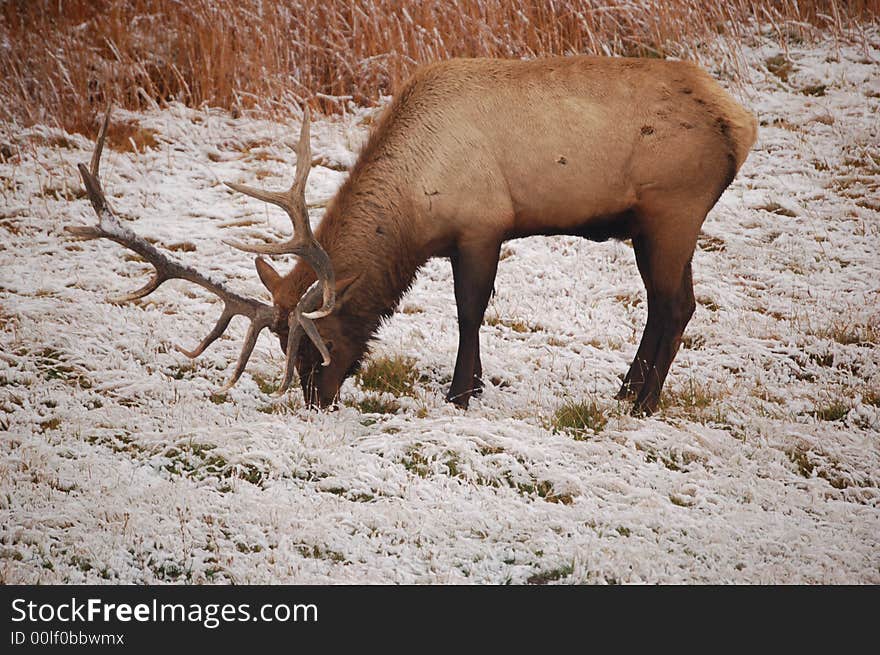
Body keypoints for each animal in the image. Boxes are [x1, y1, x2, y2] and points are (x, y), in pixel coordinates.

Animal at [70, 56, 756, 416]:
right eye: (283, 347)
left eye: (319, 340)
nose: (316, 399)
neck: (415, 212)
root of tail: (742, 122)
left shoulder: (482, 224)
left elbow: (469, 311)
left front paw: (462, 393)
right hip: (657, 223)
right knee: (673, 306)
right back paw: (626, 393)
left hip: (673, 210)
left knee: (672, 305)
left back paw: (638, 402)